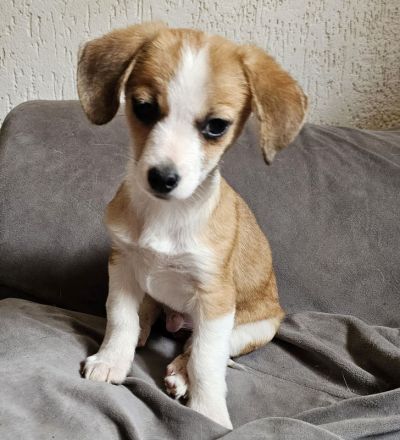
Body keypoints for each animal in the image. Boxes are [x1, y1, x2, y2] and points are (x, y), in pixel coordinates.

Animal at [77, 22, 307, 429]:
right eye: (144, 108)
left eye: (216, 127)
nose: (162, 178)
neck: (165, 215)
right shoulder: (122, 267)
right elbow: (120, 319)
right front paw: (111, 359)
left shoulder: (214, 298)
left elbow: (206, 360)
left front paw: (207, 411)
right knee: (149, 318)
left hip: (252, 328)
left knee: (199, 347)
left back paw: (180, 374)